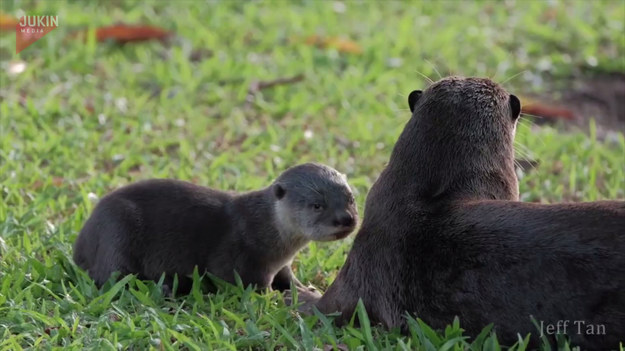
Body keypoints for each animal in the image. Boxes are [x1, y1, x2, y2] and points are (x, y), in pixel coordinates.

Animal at [73, 164, 356, 296]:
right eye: (317, 205)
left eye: (350, 198)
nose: (346, 219)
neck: (262, 229)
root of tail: (81, 243)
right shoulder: (238, 257)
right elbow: (246, 283)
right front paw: (277, 300)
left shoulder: (281, 263)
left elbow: (288, 277)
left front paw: (306, 290)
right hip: (117, 231)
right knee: (110, 278)